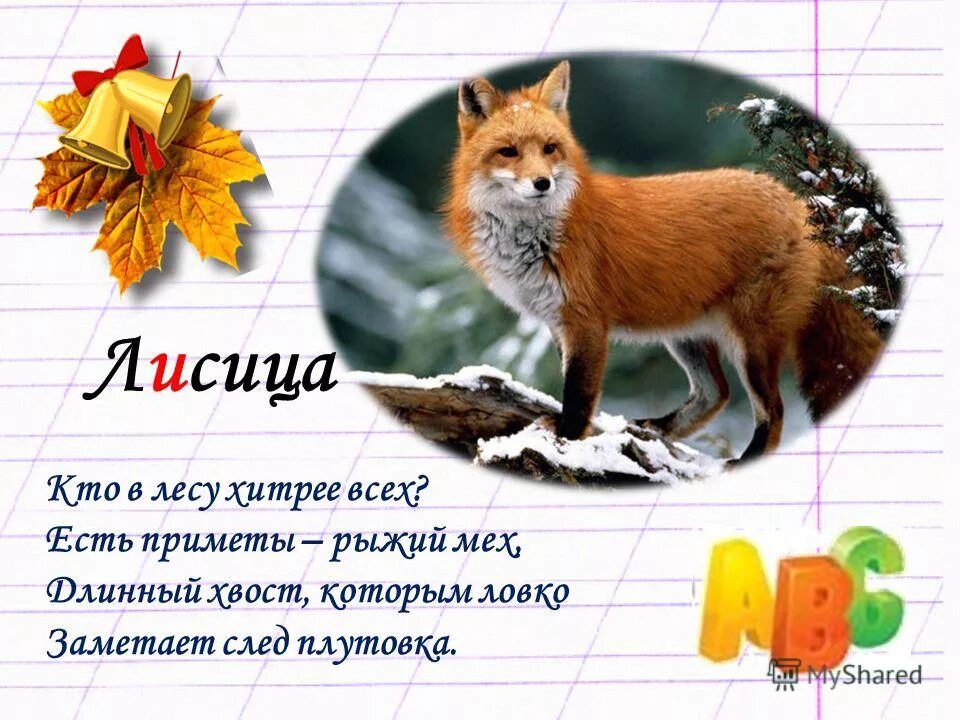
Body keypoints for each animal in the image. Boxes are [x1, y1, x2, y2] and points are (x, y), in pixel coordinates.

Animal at [443, 61, 884, 462]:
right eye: (508, 152)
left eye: (550, 148)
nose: (542, 183)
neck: (538, 237)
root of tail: (800, 203)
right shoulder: (557, 321)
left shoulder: (586, 322)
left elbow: (579, 395)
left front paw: (566, 442)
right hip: (685, 333)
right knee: (716, 393)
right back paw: (660, 429)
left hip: (751, 342)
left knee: (772, 411)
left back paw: (744, 460)